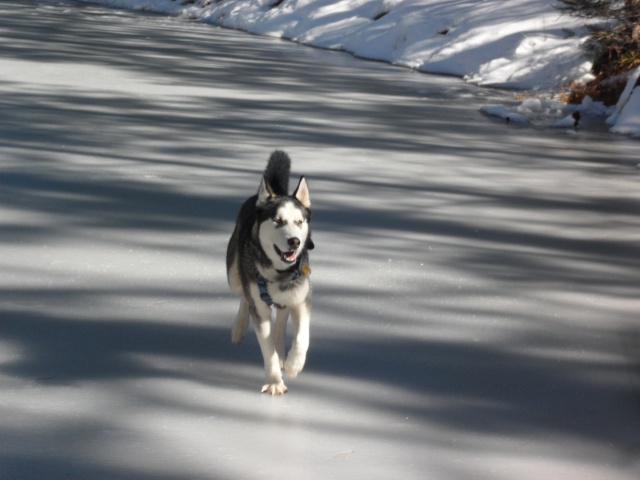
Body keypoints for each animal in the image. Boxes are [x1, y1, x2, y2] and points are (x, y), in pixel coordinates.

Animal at [226, 150, 314, 394]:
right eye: (277, 221)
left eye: (299, 221)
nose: (294, 242)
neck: (278, 273)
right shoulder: (260, 308)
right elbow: (267, 350)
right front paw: (275, 381)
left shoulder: (301, 299)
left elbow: (302, 338)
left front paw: (294, 365)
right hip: (234, 275)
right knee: (243, 297)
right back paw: (239, 327)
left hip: (287, 299)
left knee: (281, 321)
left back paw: (283, 352)